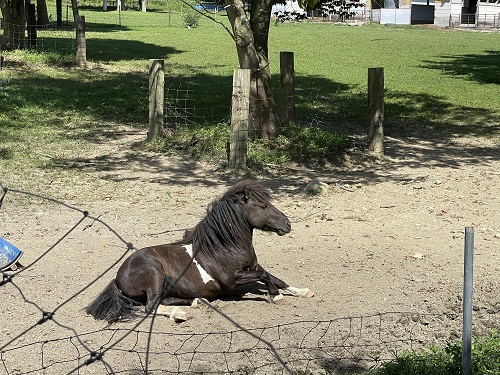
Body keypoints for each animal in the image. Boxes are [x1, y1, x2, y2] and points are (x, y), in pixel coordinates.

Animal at [86, 179, 312, 324]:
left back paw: (197, 302)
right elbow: (265, 277)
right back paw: (180, 314)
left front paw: (302, 291)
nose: (287, 224)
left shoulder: (253, 266)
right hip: (155, 274)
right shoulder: (232, 279)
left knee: (163, 300)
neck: (225, 247)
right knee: (151, 306)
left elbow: (275, 277)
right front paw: (276, 296)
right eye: (263, 206)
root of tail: (118, 276)